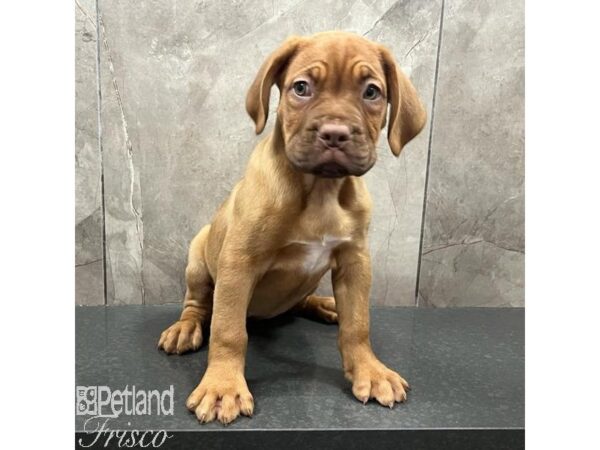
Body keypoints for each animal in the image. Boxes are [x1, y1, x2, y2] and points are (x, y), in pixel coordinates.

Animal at [157, 29, 424, 424]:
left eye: (372, 92)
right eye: (301, 87)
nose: (334, 134)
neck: (320, 190)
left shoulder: (355, 261)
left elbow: (358, 324)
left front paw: (370, 371)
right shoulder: (238, 262)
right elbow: (227, 329)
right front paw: (223, 387)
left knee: (300, 301)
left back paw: (325, 304)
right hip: (198, 256)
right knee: (199, 304)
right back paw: (185, 327)